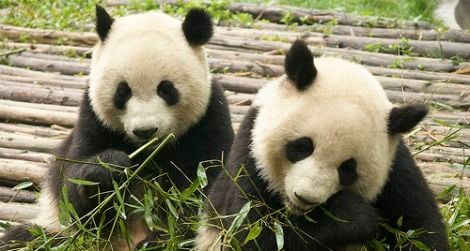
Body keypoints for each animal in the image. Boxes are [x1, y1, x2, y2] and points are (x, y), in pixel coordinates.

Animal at [1, 4, 233, 251]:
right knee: (27, 239)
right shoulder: (92, 119)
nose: (145, 131)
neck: (149, 153)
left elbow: (202, 197)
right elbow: (76, 199)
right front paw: (112, 167)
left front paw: (160, 241)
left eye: (166, 89)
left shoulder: (209, 120)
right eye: (122, 91)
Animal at [196, 40, 450, 250]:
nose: (305, 197)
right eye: (302, 147)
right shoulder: (249, 157)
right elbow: (253, 232)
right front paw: (352, 213)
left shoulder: (396, 168)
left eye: (348, 169)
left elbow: (421, 227)